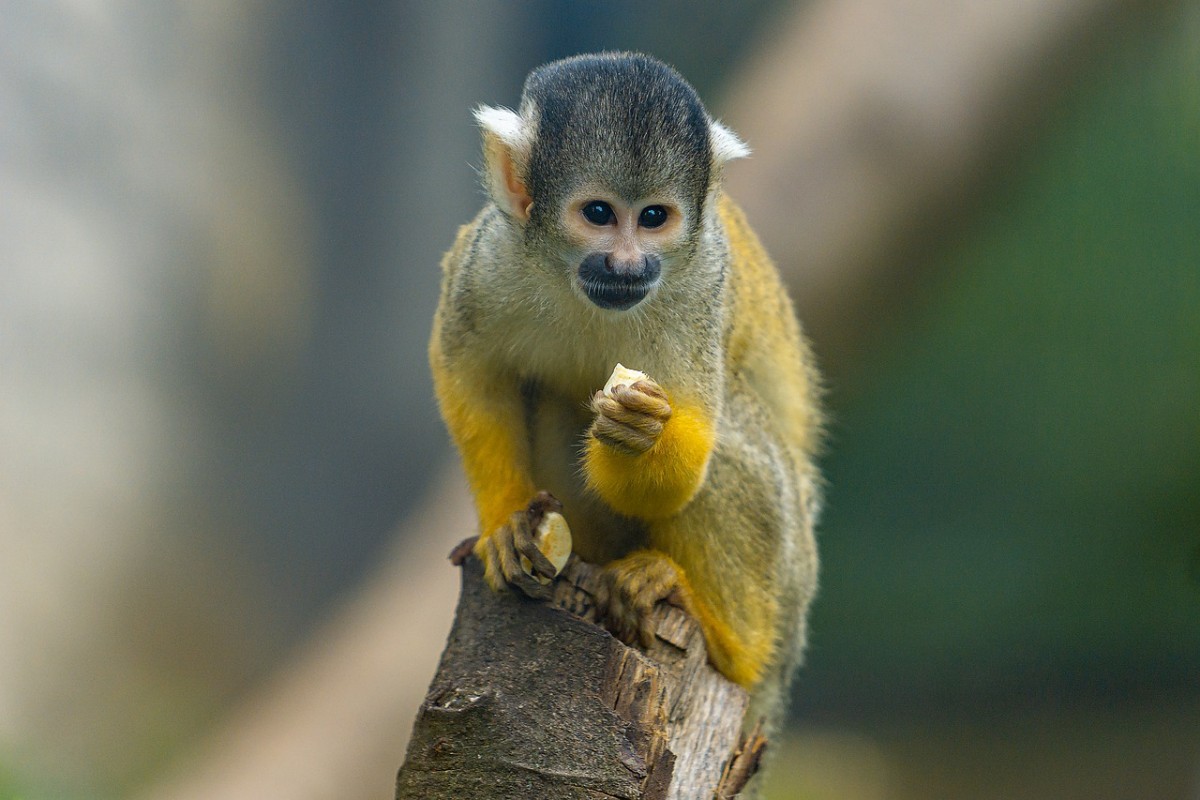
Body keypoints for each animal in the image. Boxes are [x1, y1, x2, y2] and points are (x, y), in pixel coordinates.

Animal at [427, 54, 820, 743]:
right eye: (599, 213)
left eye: (655, 218)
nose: (627, 265)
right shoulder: (493, 256)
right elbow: (469, 373)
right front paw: (505, 524)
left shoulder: (700, 286)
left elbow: (688, 466)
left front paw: (639, 436)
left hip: (792, 575)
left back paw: (721, 631)